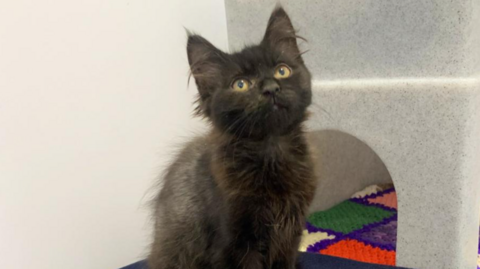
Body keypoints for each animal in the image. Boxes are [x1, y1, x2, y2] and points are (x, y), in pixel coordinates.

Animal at [148, 6, 316, 268]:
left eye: (282, 70)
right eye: (240, 84)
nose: (271, 88)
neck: (271, 149)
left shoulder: (289, 236)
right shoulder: (234, 243)